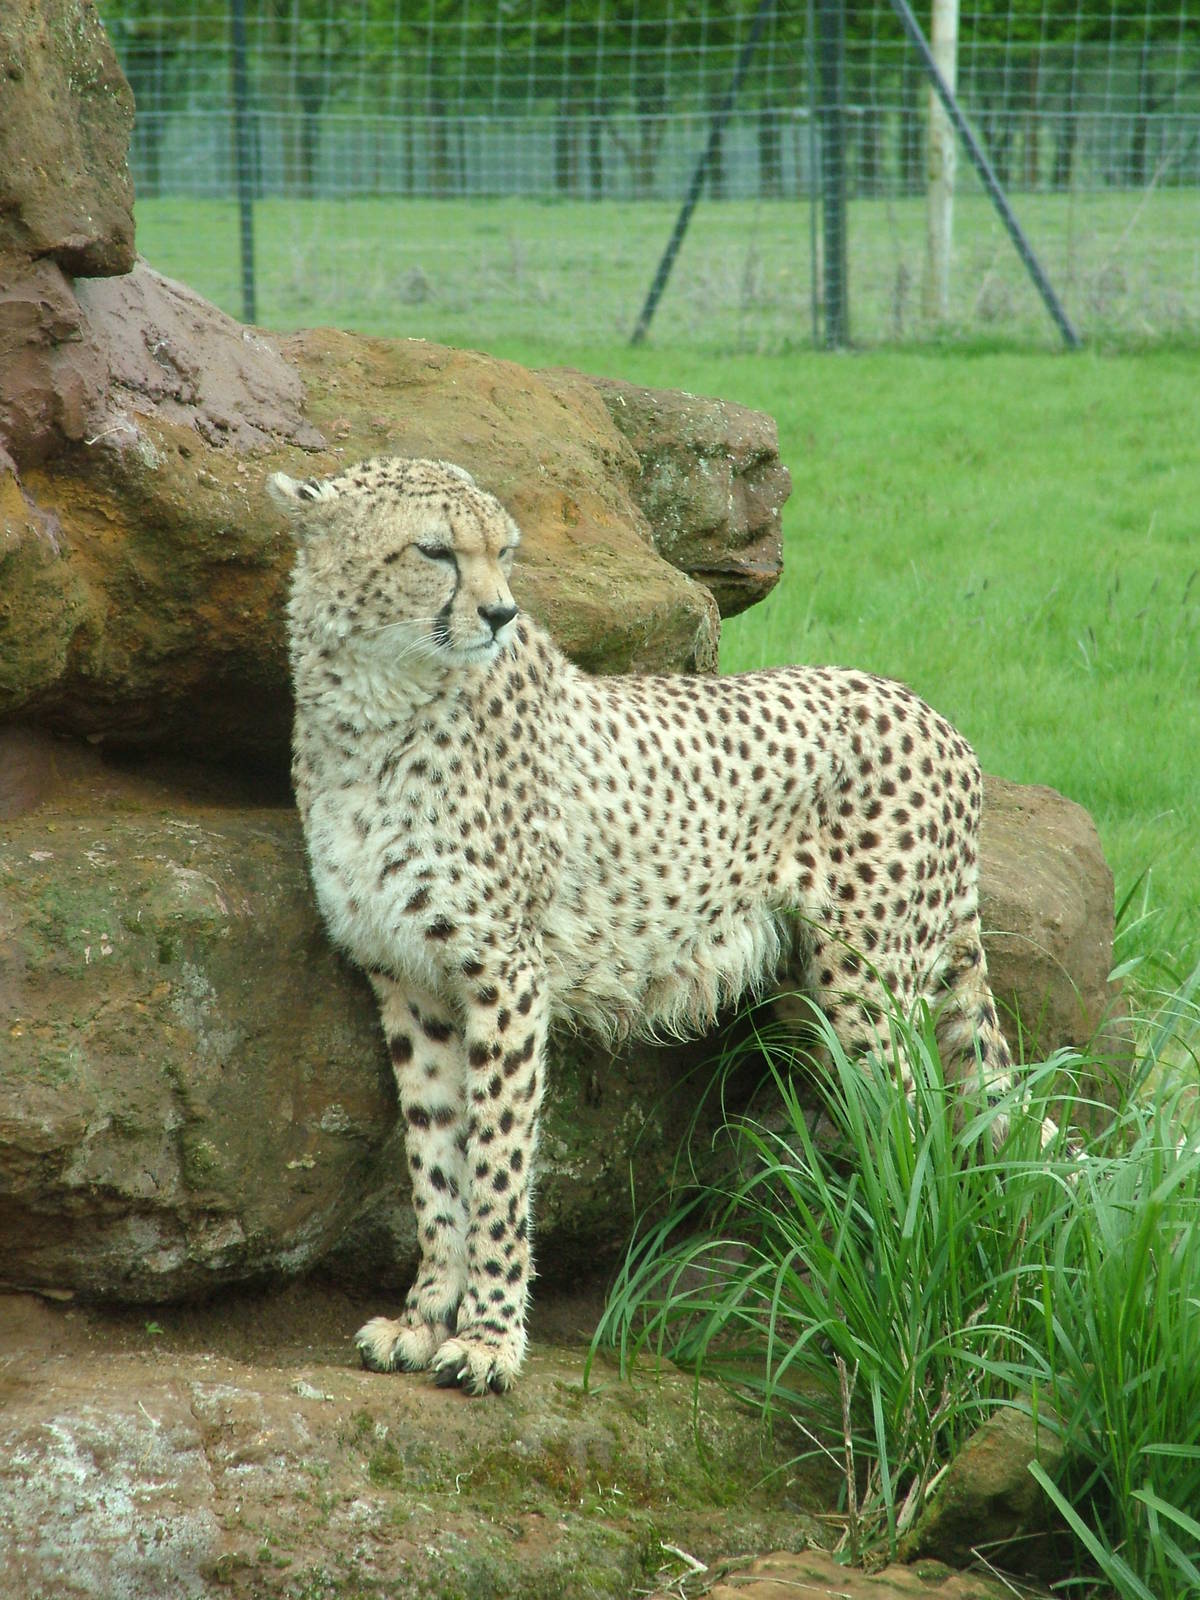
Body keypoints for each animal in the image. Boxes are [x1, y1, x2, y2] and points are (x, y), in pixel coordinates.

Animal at [272, 454, 1039, 1398]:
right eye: (435, 551)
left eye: (505, 552)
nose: (500, 614)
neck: (376, 707)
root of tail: (928, 710)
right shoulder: (410, 983)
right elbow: (436, 1163)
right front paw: (423, 1320)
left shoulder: (505, 978)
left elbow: (497, 1163)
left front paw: (489, 1338)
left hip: (868, 986)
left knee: (920, 1130)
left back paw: (906, 1300)